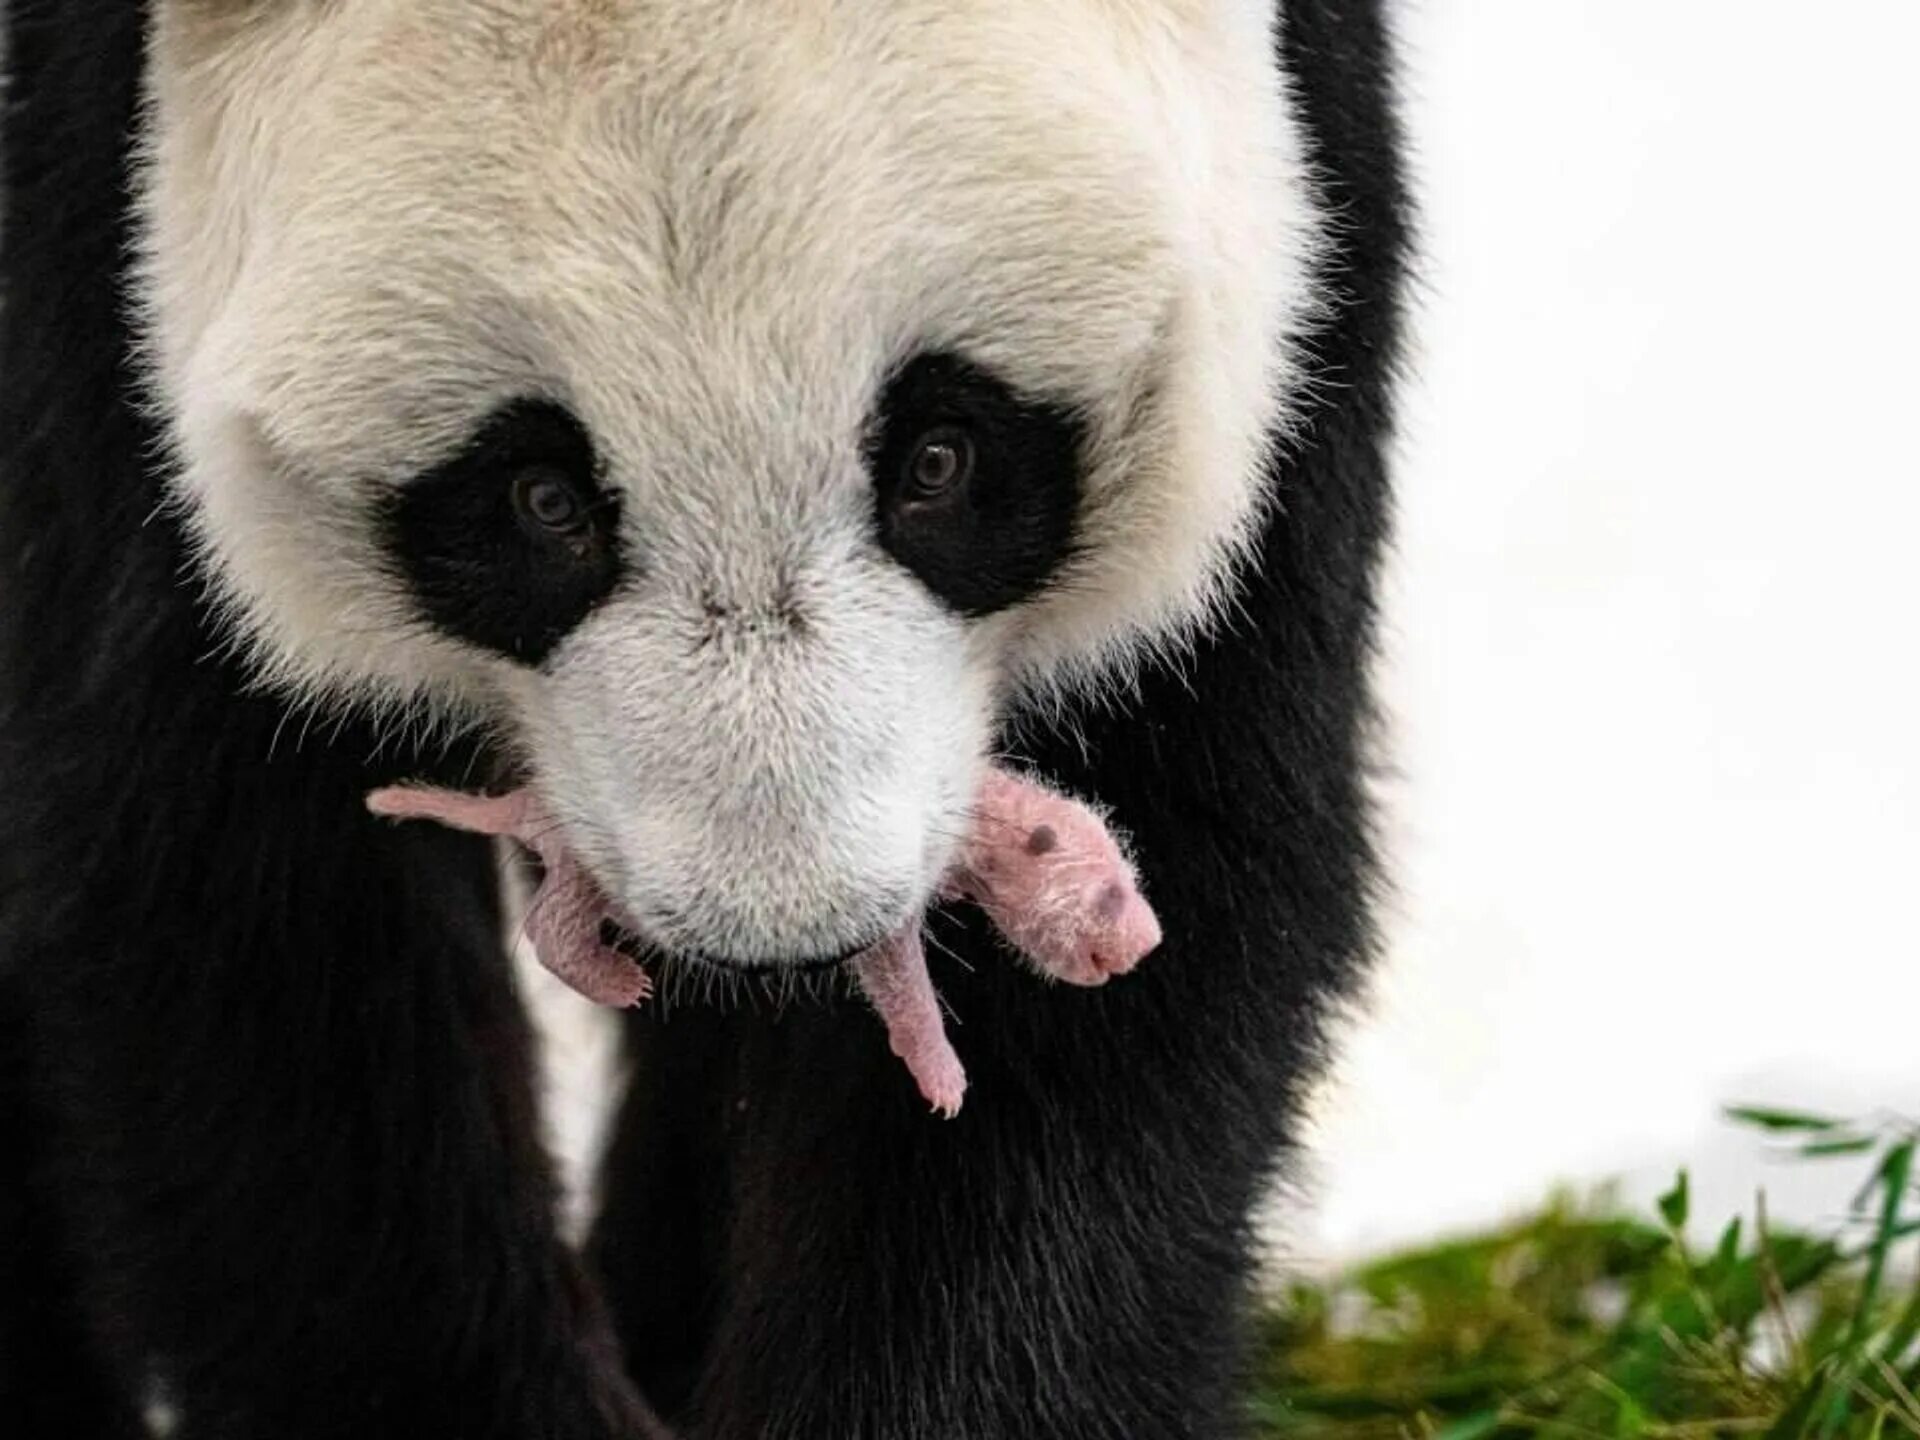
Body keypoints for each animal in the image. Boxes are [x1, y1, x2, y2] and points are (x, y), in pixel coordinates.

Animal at [0, 2, 1413, 1440]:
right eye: (540, 499)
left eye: (939, 459)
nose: (788, 938)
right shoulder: (97, 284)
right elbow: (248, 932)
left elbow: (1165, 882)